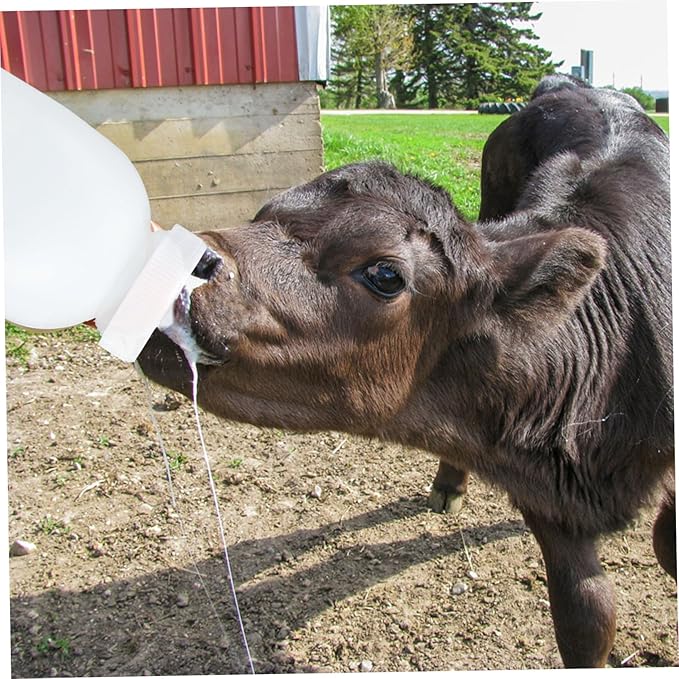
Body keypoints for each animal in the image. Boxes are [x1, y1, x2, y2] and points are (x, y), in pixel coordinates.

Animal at [138, 76, 675, 668]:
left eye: (385, 273)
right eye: (261, 213)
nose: (175, 258)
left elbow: (662, 548)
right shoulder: (543, 487)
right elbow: (586, 618)